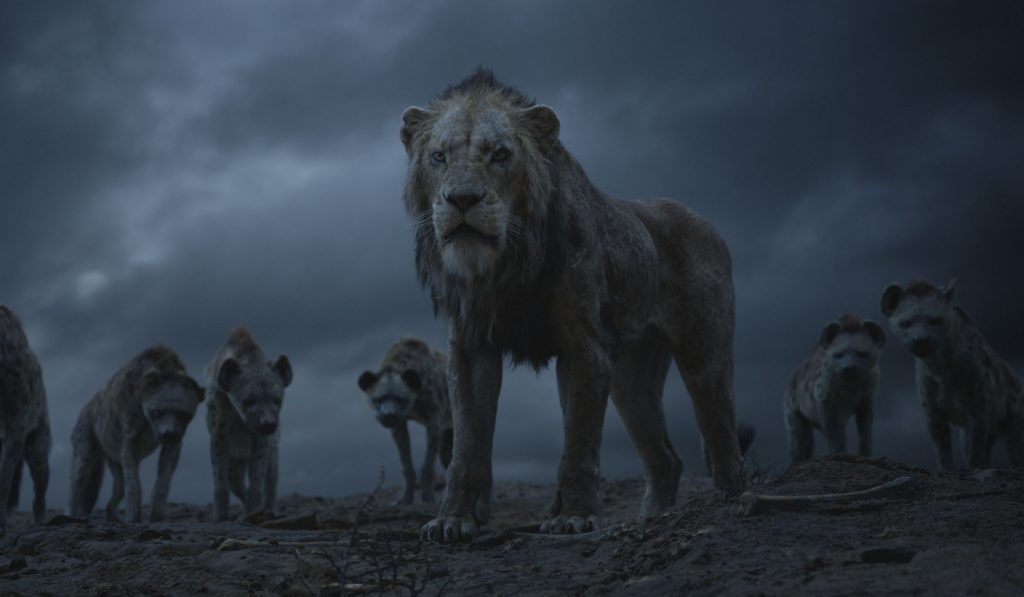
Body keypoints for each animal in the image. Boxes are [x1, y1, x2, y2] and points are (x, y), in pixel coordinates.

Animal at [401, 69, 743, 542]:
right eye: (438, 156)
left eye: (500, 154)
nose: (462, 199)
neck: (505, 264)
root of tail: (709, 224)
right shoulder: (470, 348)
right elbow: (467, 445)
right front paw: (453, 519)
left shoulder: (584, 345)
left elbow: (579, 439)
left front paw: (574, 517)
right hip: (630, 380)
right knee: (666, 459)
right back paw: (652, 519)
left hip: (704, 357)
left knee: (722, 434)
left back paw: (728, 503)